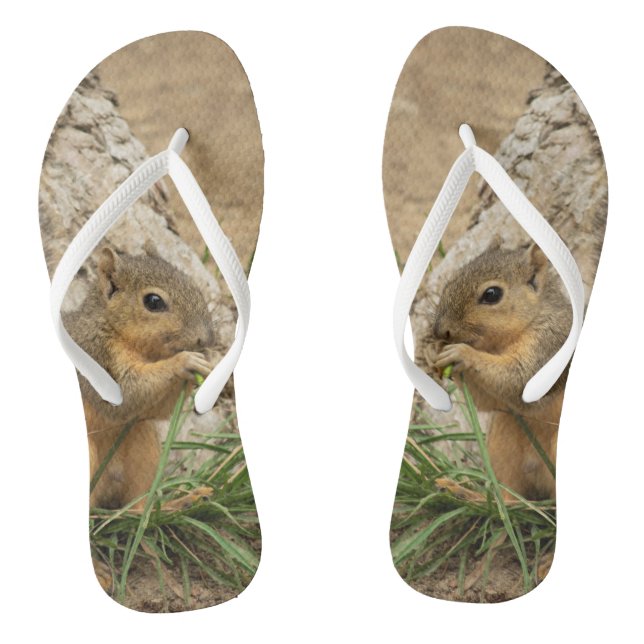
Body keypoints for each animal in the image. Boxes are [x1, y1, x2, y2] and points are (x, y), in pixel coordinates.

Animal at [63, 247, 216, 509]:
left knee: (137, 506)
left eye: (195, 289)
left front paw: (208, 362)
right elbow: (126, 394)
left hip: (143, 444)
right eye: (153, 302)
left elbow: (152, 410)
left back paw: (177, 504)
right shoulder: (94, 356)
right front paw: (184, 361)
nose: (205, 339)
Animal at [428, 243, 572, 500]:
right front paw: (437, 355)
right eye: (450, 282)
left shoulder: (552, 345)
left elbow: (521, 380)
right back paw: (468, 495)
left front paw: (463, 354)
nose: (440, 331)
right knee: (509, 495)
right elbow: (488, 402)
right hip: (502, 438)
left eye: (492, 294)